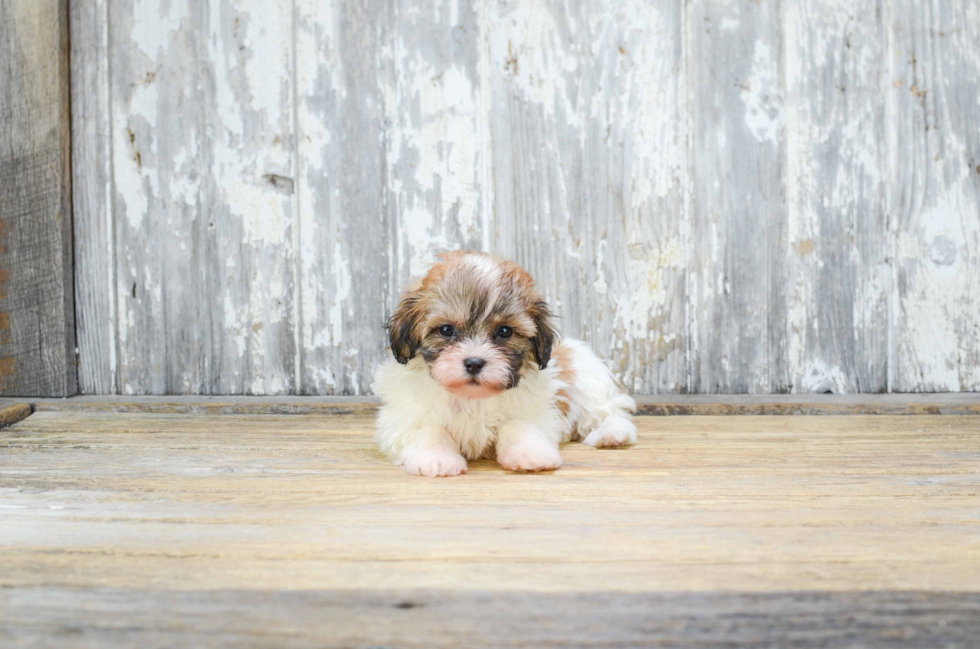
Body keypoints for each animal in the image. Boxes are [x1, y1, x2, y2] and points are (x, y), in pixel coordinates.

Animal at [374, 249, 636, 476]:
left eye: (504, 331)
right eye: (446, 330)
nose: (474, 363)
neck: (473, 398)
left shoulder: (535, 409)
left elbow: (519, 425)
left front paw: (530, 454)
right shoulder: (407, 415)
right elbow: (428, 429)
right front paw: (437, 459)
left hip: (590, 383)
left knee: (608, 413)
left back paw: (612, 434)